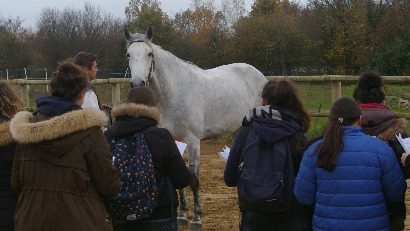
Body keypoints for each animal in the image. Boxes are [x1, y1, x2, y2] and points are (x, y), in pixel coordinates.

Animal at [123, 26, 268, 229]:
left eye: (149, 54)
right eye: (128, 54)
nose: (137, 84)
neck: (174, 93)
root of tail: (259, 75)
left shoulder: (193, 142)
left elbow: (194, 179)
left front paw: (197, 218)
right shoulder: (173, 140)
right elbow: (179, 178)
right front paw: (183, 216)